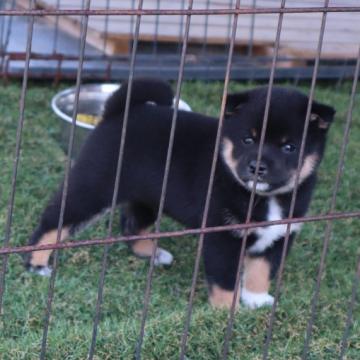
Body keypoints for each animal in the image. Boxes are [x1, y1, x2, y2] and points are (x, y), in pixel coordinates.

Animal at [25, 79, 334, 310]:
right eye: (248, 139)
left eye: (289, 147)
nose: (257, 167)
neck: (264, 197)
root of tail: (121, 111)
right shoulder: (222, 236)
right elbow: (225, 280)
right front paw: (227, 312)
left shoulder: (279, 235)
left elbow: (261, 271)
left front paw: (256, 300)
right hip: (94, 188)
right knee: (53, 221)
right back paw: (36, 263)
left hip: (148, 197)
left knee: (131, 225)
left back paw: (152, 253)